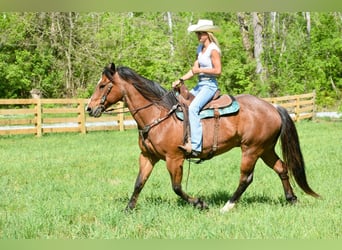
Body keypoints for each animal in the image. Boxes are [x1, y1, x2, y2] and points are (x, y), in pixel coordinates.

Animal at [87, 62, 320, 213]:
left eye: (102, 85)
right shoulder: (147, 157)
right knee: (282, 168)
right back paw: (291, 199)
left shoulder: (174, 159)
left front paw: (200, 203)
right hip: (266, 149)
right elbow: (139, 183)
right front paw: (128, 208)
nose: (89, 108)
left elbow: (177, 187)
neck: (158, 115)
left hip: (251, 150)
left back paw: (228, 206)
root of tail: (273, 107)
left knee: (246, 178)